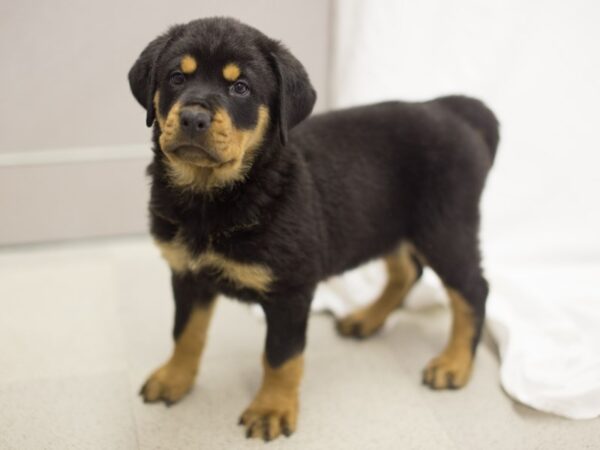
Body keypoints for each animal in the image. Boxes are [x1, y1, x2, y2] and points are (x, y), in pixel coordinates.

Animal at [129, 16, 500, 440]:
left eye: (240, 88)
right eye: (176, 77)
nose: (193, 117)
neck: (213, 196)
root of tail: (452, 110)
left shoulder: (291, 289)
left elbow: (281, 356)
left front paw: (271, 409)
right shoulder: (187, 273)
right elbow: (185, 333)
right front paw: (174, 378)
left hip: (445, 227)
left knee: (472, 289)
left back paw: (454, 363)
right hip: (384, 220)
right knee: (408, 270)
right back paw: (367, 320)